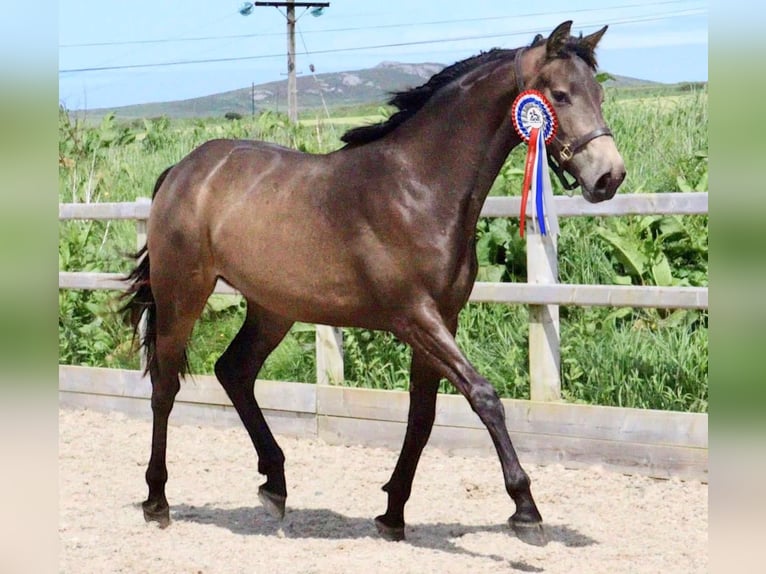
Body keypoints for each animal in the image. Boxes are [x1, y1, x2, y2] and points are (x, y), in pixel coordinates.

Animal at [120, 20, 624, 548]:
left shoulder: (443, 320)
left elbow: (422, 416)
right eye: (561, 95)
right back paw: (157, 501)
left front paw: (392, 514)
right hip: (183, 294)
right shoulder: (415, 318)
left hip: (273, 308)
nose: (609, 176)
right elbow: (484, 397)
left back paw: (274, 485)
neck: (419, 190)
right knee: (165, 386)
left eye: (599, 94)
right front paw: (525, 509)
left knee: (234, 372)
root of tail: (182, 171)